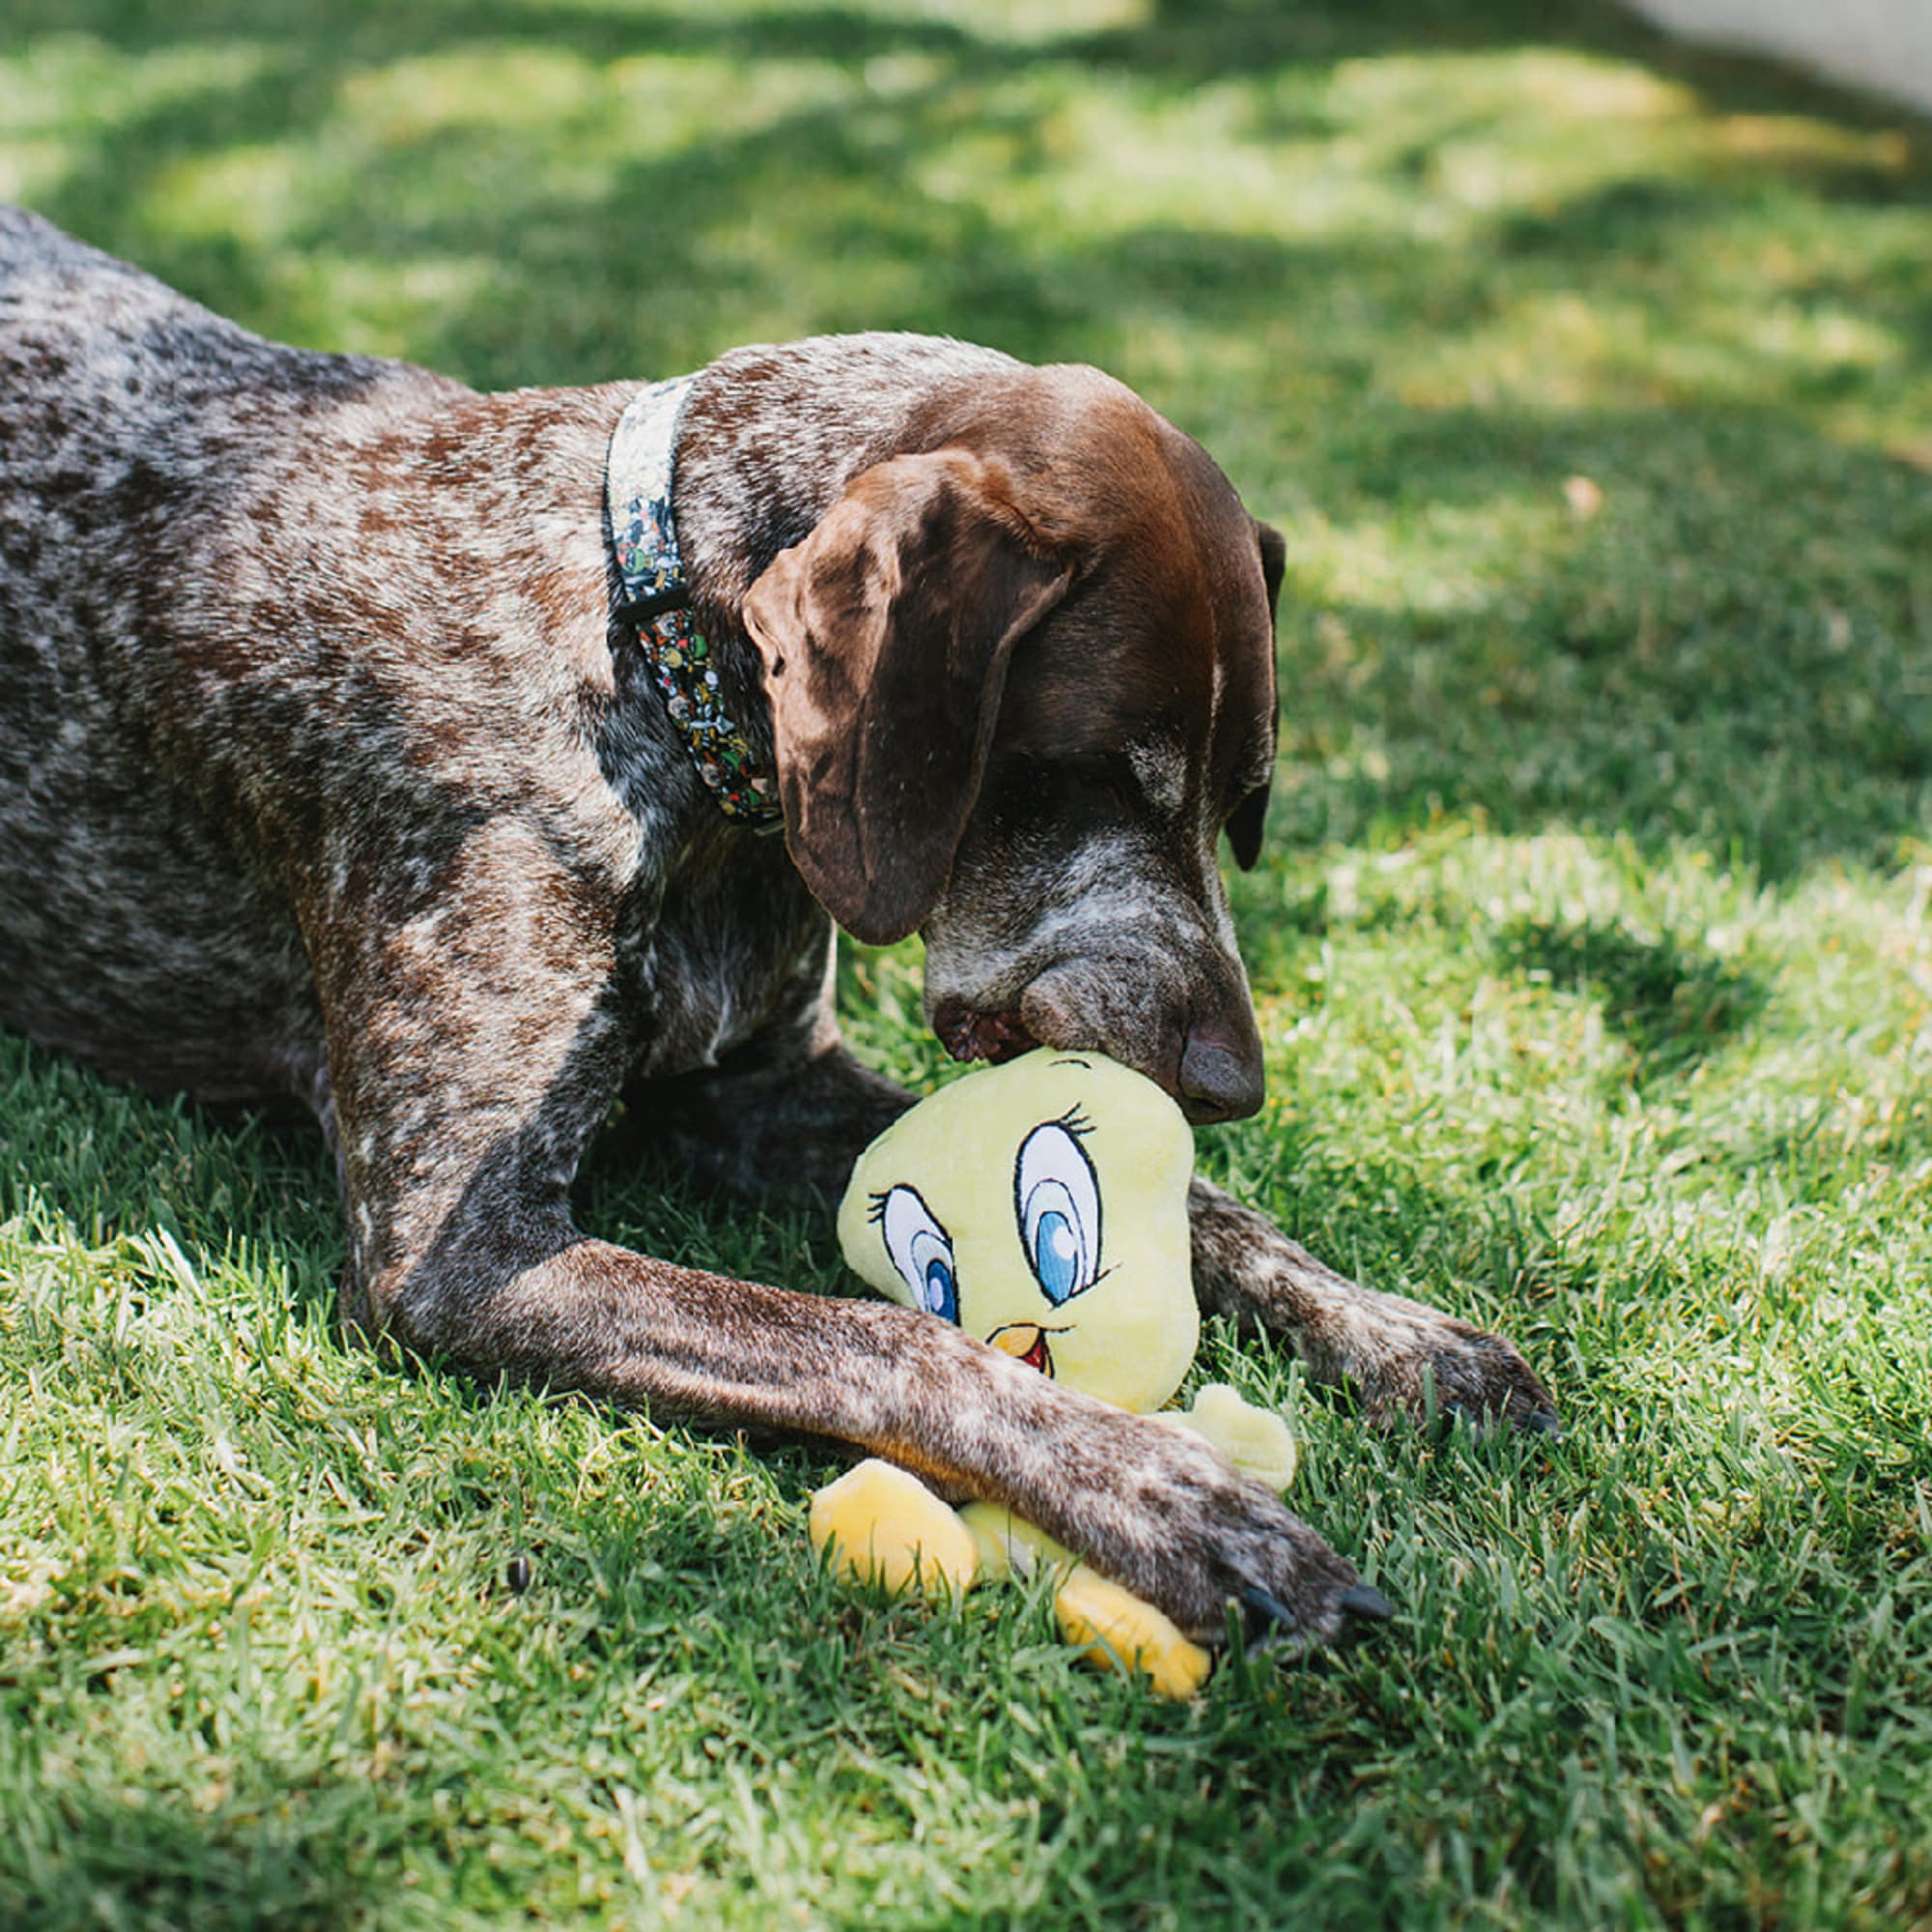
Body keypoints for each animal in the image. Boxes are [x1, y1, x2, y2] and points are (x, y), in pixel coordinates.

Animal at [0, 215, 1553, 1662]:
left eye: (1239, 805)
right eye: (1099, 773)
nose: (1235, 1082)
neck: (640, 660)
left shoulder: (765, 1081)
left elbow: (1216, 1216)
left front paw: (1396, 1330)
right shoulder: (452, 1251)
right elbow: (887, 1336)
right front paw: (1168, 1494)